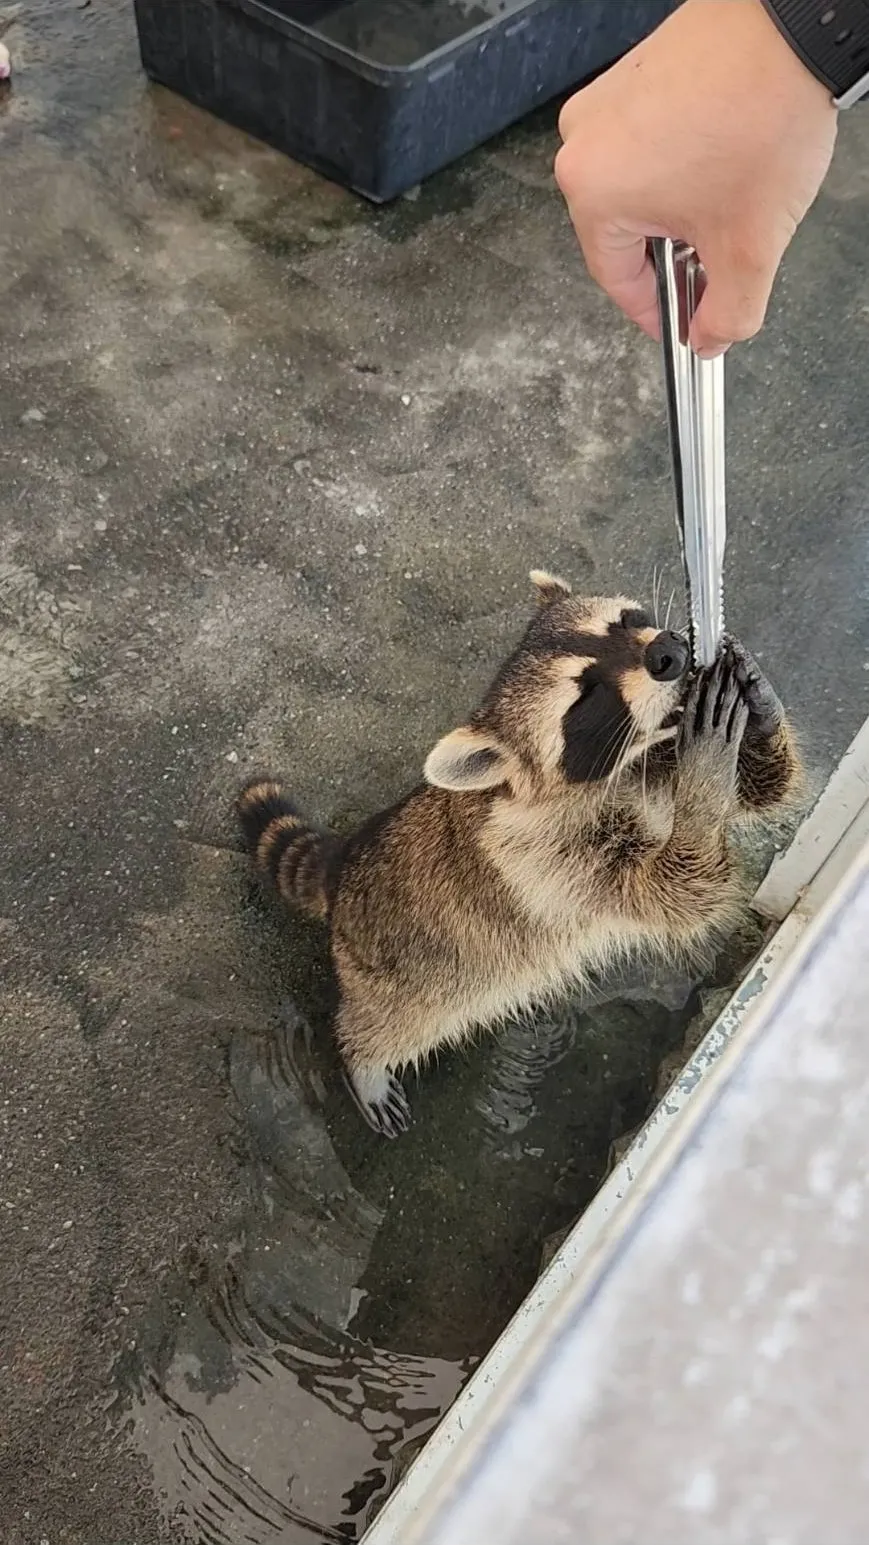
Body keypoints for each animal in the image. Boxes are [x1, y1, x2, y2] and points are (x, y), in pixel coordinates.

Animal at [236, 568, 797, 1137]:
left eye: (624, 622)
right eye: (586, 694)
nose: (669, 651)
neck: (625, 768)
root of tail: (345, 864)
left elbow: (758, 796)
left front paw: (761, 712)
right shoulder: (538, 861)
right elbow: (675, 892)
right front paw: (705, 778)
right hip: (399, 971)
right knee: (393, 1021)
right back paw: (362, 1060)